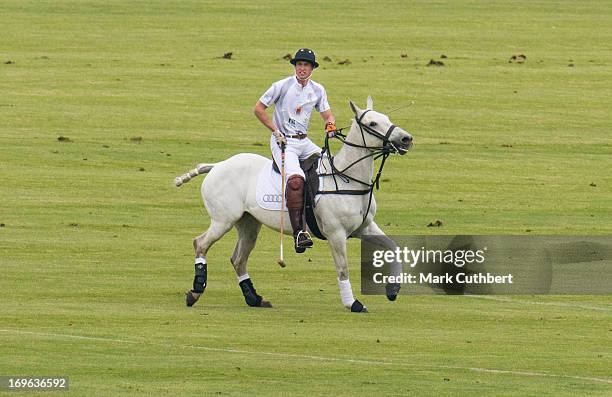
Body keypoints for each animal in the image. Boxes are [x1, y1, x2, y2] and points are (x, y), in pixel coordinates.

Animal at [177, 97, 416, 310]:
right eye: (373, 123)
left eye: (387, 118)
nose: (406, 138)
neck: (346, 178)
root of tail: (217, 165)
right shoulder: (336, 233)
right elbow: (343, 269)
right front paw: (353, 303)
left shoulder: (364, 228)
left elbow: (394, 247)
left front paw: (393, 289)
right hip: (223, 220)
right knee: (201, 244)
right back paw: (195, 291)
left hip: (249, 223)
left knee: (238, 259)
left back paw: (254, 299)